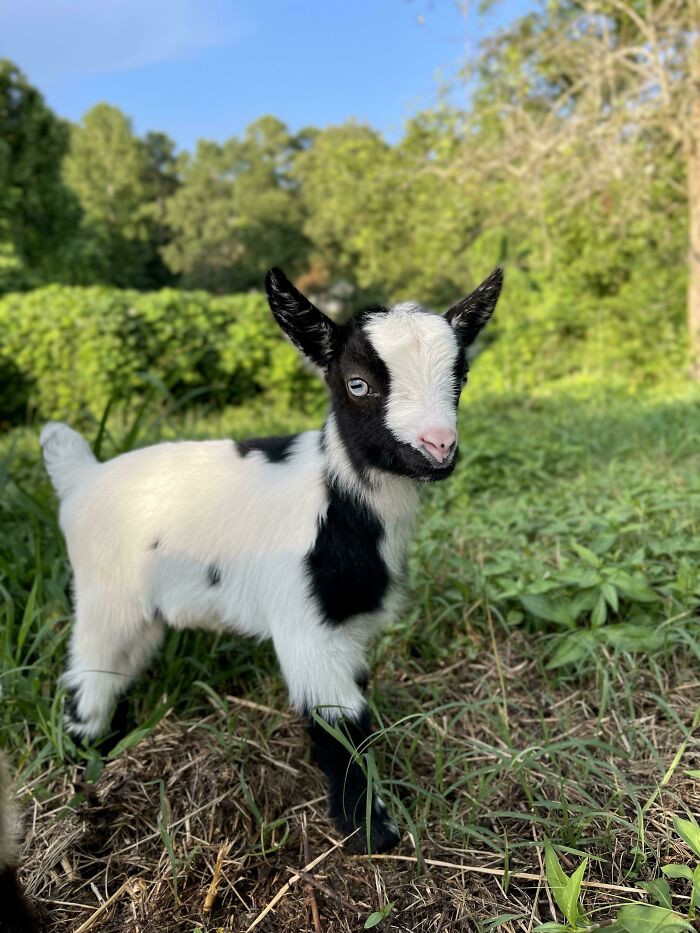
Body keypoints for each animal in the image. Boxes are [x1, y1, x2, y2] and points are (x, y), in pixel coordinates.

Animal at [42, 264, 504, 852]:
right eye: (358, 383)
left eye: (460, 377)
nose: (438, 447)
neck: (338, 503)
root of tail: (81, 475)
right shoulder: (306, 625)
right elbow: (341, 726)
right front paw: (370, 832)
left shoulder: (348, 626)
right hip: (105, 591)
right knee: (89, 672)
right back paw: (88, 753)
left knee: (122, 663)